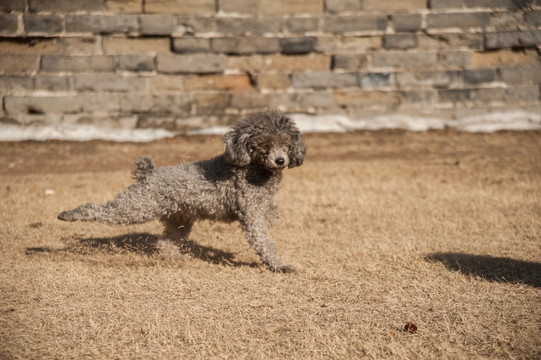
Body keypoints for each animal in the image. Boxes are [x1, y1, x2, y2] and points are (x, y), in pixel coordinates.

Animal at [58, 111, 306, 272]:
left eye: (286, 144)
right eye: (264, 145)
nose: (280, 160)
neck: (254, 169)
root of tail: (148, 174)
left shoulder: (261, 208)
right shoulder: (251, 214)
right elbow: (263, 241)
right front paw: (279, 265)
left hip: (180, 220)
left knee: (164, 242)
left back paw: (178, 258)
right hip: (137, 207)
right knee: (99, 210)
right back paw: (68, 215)